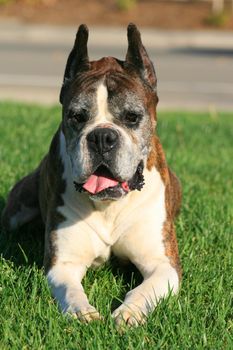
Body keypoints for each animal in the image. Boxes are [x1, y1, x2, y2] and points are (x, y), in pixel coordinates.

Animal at [1, 24, 182, 328]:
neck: (110, 206)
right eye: (77, 117)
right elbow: (70, 289)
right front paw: (82, 312)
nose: (102, 137)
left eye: (132, 117)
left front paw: (129, 313)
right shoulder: (62, 264)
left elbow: (143, 290)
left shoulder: (163, 264)